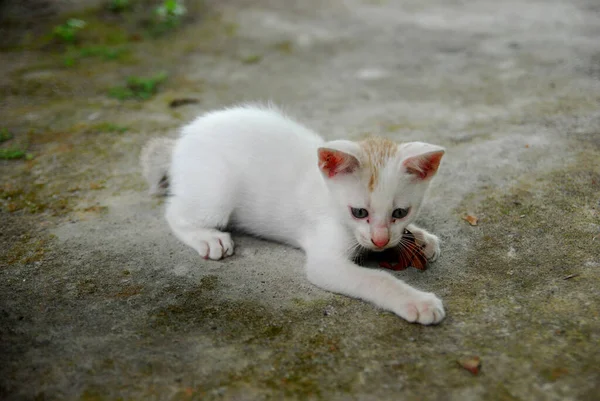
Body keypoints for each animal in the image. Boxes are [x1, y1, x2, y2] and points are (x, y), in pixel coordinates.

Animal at [142, 104, 446, 324]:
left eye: (400, 212)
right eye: (359, 212)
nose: (380, 241)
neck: (329, 195)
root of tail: (180, 143)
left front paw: (420, 238)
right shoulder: (325, 262)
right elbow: (376, 279)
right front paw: (417, 301)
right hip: (217, 190)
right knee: (174, 212)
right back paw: (207, 237)